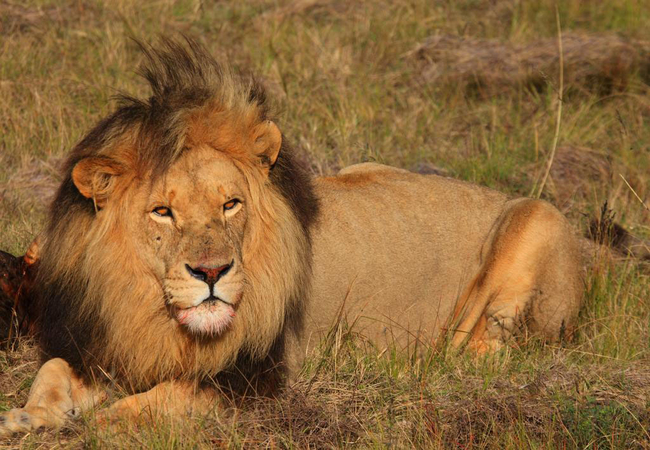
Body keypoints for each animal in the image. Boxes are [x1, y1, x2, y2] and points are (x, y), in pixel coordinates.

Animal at [0, 39, 580, 436]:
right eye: (162, 212)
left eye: (231, 204)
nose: (212, 273)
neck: (147, 310)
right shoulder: (101, 344)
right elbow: (52, 369)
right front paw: (27, 417)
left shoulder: (257, 381)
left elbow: (161, 399)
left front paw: (93, 427)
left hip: (539, 216)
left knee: (492, 348)